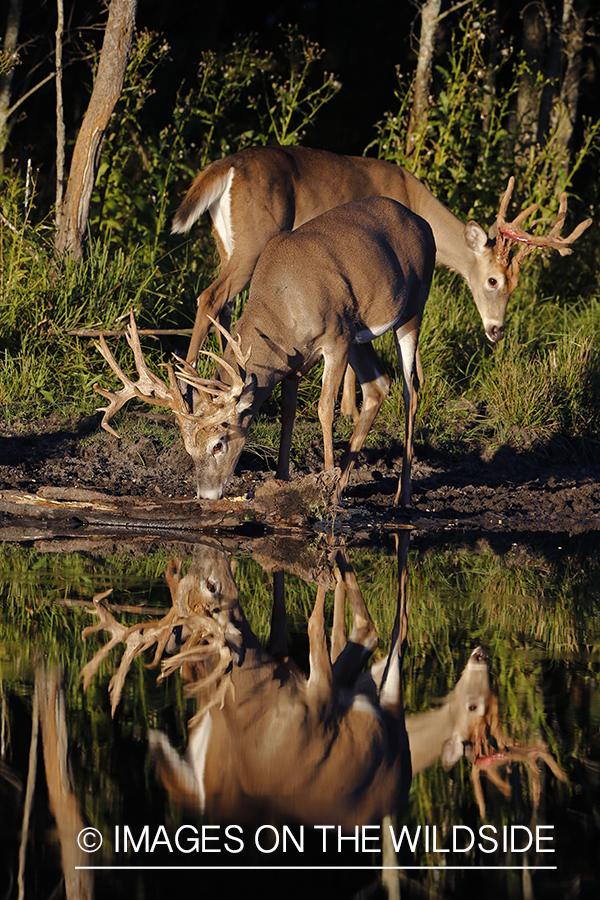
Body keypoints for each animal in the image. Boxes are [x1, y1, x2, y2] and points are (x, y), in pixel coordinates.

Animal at [98, 198, 436, 506]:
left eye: (219, 444)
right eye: (188, 450)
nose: (206, 495)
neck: (284, 307)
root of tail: (421, 222)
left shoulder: (336, 338)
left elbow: (324, 408)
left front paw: (327, 486)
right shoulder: (295, 360)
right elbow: (288, 411)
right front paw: (283, 480)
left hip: (412, 307)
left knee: (410, 390)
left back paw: (402, 494)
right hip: (360, 336)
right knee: (378, 385)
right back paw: (346, 484)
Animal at [172, 145, 592, 418]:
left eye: (514, 285)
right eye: (492, 281)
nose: (496, 330)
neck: (414, 199)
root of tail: (225, 167)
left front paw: (347, 406)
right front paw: (350, 409)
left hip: (226, 243)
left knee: (224, 306)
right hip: (255, 240)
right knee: (209, 297)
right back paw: (189, 389)